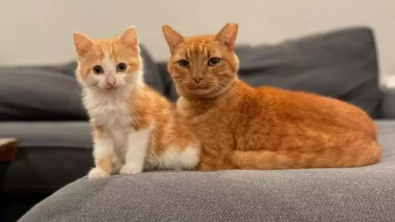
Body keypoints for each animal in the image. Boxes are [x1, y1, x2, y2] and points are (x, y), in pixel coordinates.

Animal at [72, 26, 200, 179]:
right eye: (97, 70)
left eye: (121, 67)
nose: (111, 81)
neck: (113, 100)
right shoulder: (101, 126)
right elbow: (102, 150)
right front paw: (101, 170)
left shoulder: (142, 124)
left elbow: (135, 148)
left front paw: (131, 167)